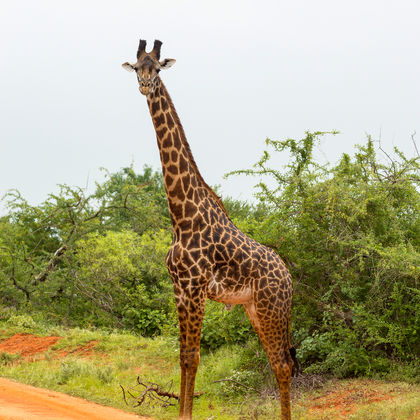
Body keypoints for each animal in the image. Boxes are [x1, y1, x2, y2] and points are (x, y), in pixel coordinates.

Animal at [123, 39, 294, 420]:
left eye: (156, 68)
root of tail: (290, 279)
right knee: (280, 362)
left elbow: (194, 357)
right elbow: (184, 356)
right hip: (254, 309)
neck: (182, 215)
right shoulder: (179, 288)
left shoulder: (197, 287)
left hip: (272, 308)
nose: (144, 85)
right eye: (137, 67)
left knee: (283, 364)